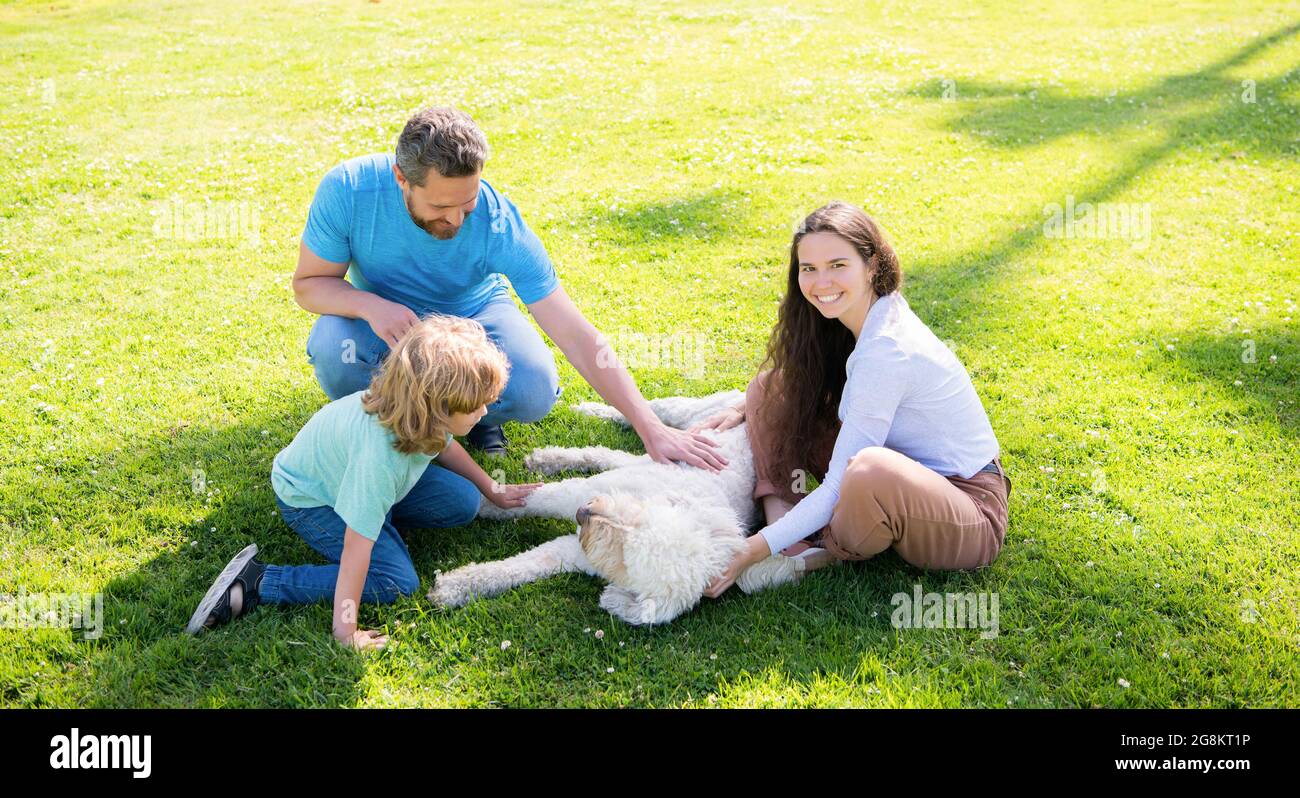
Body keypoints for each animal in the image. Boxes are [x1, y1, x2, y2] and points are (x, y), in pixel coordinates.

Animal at [426, 389, 832, 629]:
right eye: (637, 518)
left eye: (625, 555)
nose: (584, 514)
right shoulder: (580, 493)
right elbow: (533, 499)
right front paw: (484, 501)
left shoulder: (576, 550)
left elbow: (524, 566)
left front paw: (458, 585)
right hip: (692, 412)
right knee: (645, 413)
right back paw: (585, 415)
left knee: (613, 452)